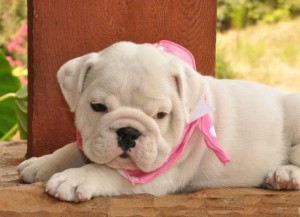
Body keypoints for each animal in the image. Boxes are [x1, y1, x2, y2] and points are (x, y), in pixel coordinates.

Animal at [17, 40, 298, 202]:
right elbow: (72, 149)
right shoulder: (89, 140)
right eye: (98, 107)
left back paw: (284, 173)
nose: (128, 132)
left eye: (161, 115)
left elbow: (105, 170)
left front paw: (74, 178)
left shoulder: (156, 176)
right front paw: (40, 163)